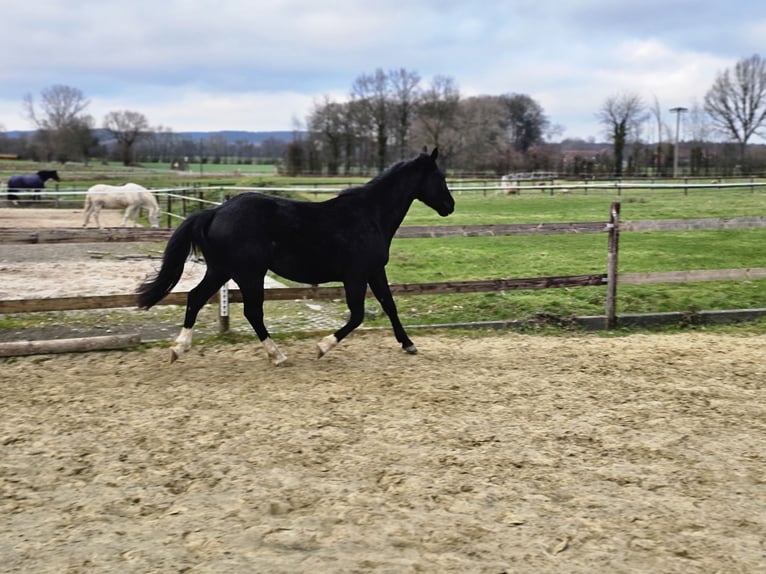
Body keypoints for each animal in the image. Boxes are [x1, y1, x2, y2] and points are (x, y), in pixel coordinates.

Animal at [137, 147, 454, 365]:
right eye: (440, 177)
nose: (450, 206)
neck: (370, 214)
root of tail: (215, 212)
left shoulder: (375, 271)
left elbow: (390, 305)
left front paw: (409, 344)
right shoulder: (355, 276)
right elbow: (357, 315)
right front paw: (322, 347)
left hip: (221, 270)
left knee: (195, 298)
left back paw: (178, 349)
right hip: (248, 274)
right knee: (252, 312)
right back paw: (277, 355)